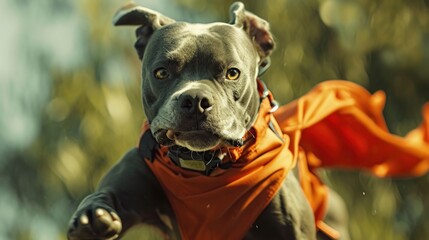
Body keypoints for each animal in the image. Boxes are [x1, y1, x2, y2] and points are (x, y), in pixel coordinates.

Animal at [67, 1, 348, 240]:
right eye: (161, 72)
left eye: (232, 73)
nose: (194, 100)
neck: (203, 170)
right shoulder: (131, 180)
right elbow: (105, 196)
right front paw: (92, 218)